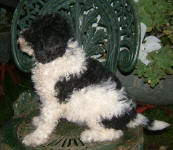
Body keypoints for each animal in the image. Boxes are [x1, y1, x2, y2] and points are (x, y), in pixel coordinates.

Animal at [18, 14, 170, 146]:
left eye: (34, 32)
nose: (20, 37)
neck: (58, 56)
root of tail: (130, 114)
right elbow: (44, 116)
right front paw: (38, 121)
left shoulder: (53, 101)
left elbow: (47, 120)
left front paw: (34, 138)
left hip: (98, 116)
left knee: (115, 133)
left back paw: (90, 135)